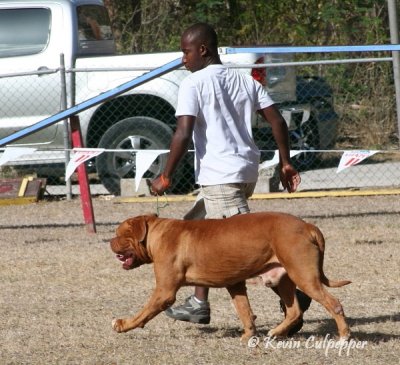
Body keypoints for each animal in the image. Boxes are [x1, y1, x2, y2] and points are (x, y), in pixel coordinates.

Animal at [109, 212, 350, 340]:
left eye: (119, 234)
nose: (109, 241)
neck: (156, 233)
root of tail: (308, 225)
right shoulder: (235, 284)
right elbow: (245, 312)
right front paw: (249, 336)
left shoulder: (164, 292)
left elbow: (143, 313)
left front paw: (123, 324)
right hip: (284, 279)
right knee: (294, 311)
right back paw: (276, 331)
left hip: (304, 276)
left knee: (334, 304)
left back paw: (344, 336)